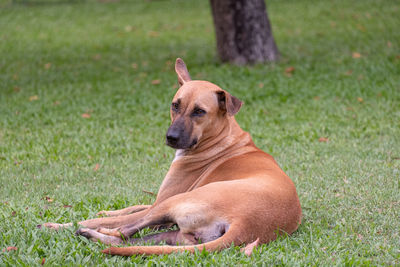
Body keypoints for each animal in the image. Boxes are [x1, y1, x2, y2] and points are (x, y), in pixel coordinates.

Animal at [42, 59, 302, 258]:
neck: (221, 140)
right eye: (175, 105)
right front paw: (106, 212)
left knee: (122, 231)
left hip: (176, 203)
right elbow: (132, 206)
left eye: (199, 111)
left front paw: (71, 222)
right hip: (176, 233)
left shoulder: (162, 201)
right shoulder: (158, 201)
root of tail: (246, 225)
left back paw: (71, 229)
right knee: (128, 240)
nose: (171, 137)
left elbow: (114, 217)